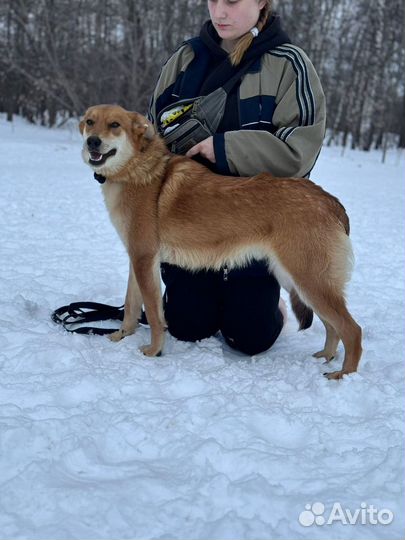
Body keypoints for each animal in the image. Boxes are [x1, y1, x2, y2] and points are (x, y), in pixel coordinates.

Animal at [79, 103, 362, 378]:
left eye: (115, 125)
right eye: (90, 122)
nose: (92, 141)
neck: (137, 170)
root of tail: (331, 202)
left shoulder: (144, 259)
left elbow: (154, 315)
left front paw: (154, 351)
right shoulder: (137, 259)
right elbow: (130, 307)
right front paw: (120, 336)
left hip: (309, 282)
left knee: (352, 330)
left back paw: (343, 375)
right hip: (300, 282)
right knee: (333, 327)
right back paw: (325, 358)